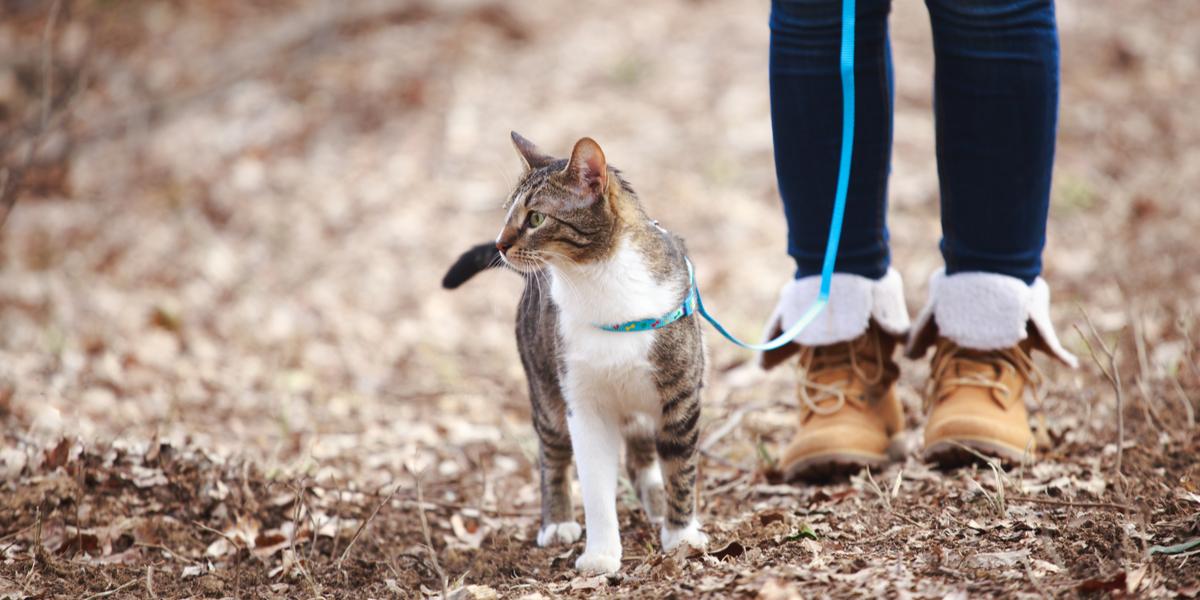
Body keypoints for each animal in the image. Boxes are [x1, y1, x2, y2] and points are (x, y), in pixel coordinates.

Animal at [444, 133, 705, 573]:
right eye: (508, 213)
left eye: (535, 218)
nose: (499, 244)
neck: (603, 285)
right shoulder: (583, 405)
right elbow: (595, 484)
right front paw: (600, 555)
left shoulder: (681, 397)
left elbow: (679, 469)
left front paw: (681, 534)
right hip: (545, 387)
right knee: (552, 452)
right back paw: (557, 523)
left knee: (642, 456)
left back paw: (655, 502)